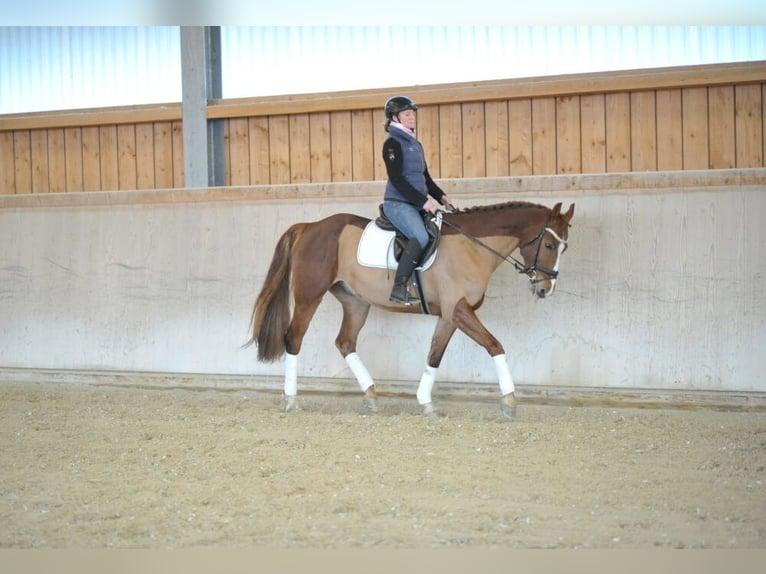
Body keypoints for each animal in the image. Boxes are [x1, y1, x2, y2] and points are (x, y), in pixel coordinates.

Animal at [246, 200, 576, 420]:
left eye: (564, 247)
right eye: (549, 245)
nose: (545, 289)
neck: (472, 247)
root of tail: (310, 227)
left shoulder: (450, 316)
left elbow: (434, 356)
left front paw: (425, 402)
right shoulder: (460, 311)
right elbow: (495, 345)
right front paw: (509, 401)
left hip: (355, 302)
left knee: (345, 342)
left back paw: (370, 395)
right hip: (308, 296)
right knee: (294, 339)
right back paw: (291, 400)